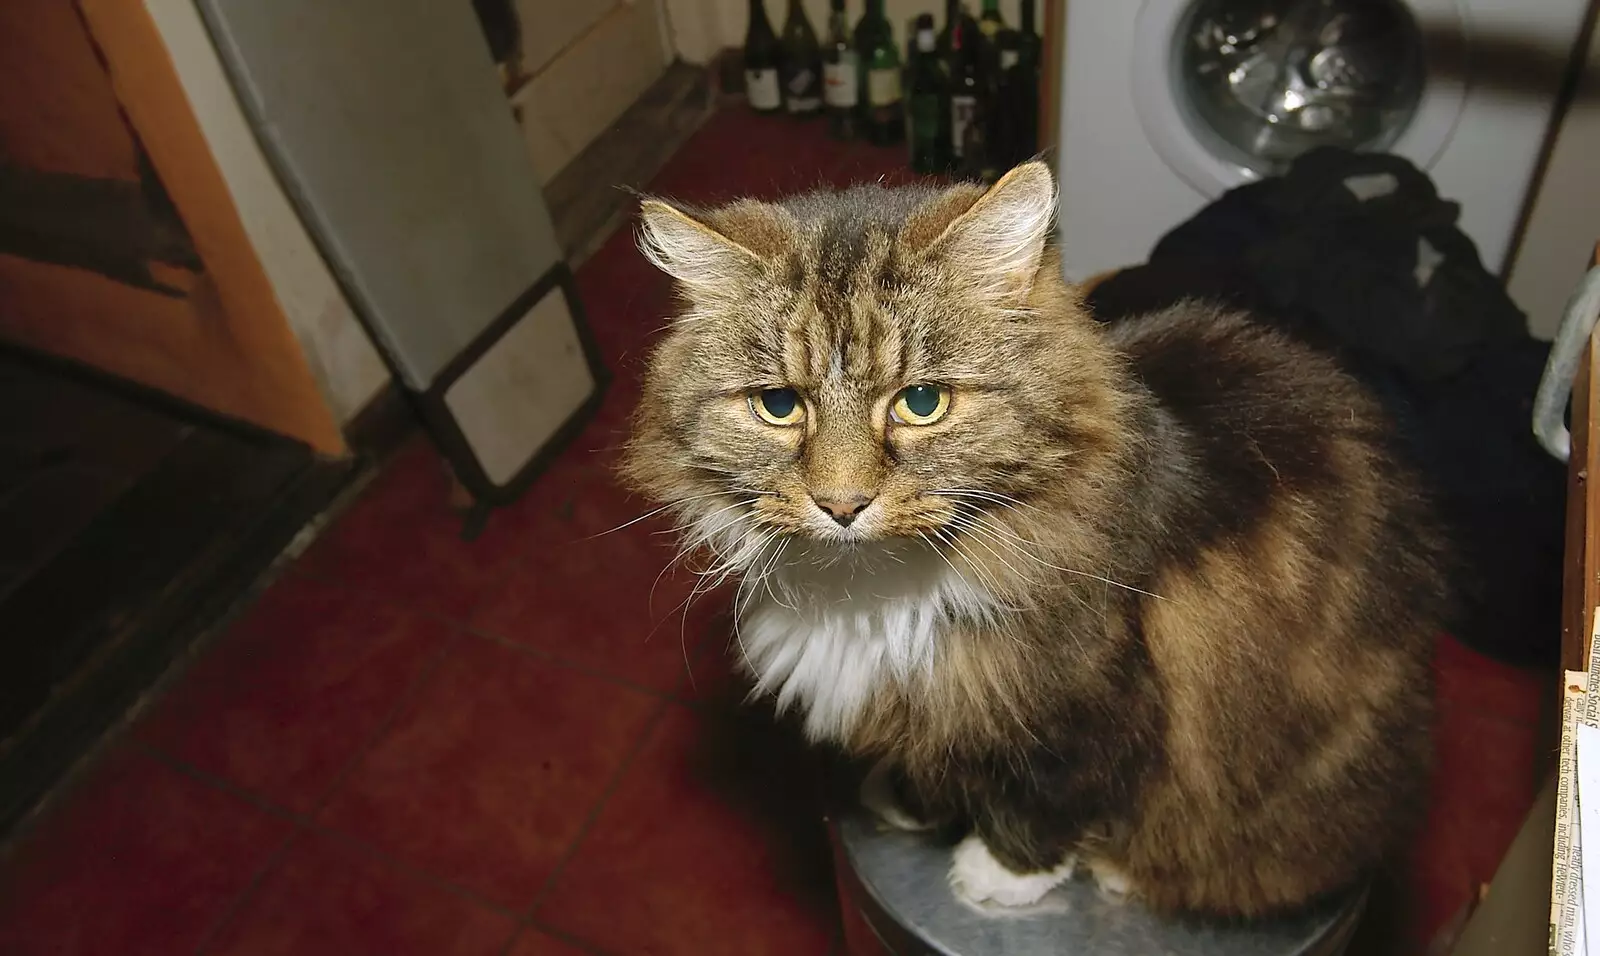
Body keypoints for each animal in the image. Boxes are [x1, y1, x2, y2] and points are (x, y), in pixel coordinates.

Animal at [620, 164, 1452, 920]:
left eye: (922, 402)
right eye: (778, 405)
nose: (842, 504)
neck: (875, 592)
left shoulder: (1087, 703)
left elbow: (1046, 798)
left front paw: (998, 875)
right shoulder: (939, 699)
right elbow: (938, 758)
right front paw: (908, 800)